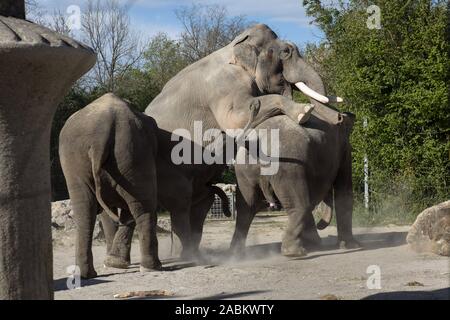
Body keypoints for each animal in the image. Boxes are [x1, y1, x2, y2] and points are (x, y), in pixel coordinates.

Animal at [59, 92, 162, 278]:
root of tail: (101, 136)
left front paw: (113, 263)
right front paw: (116, 263)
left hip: (78, 158)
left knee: (85, 208)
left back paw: (85, 274)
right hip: (133, 152)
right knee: (143, 207)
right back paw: (151, 267)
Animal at [142, 23, 342, 258]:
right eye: (285, 52)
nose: (340, 118)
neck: (234, 46)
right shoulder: (224, 85)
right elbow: (236, 117)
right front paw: (303, 112)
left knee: (199, 203)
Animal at [230, 109, 360, 256]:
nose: (320, 225)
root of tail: (255, 141)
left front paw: (314, 245)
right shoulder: (344, 149)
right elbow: (344, 192)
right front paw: (351, 246)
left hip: (244, 169)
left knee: (246, 209)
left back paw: (236, 253)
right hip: (288, 166)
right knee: (300, 205)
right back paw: (295, 253)